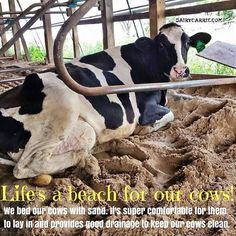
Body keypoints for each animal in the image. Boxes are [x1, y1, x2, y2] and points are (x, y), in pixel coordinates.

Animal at [0, 23, 210, 180]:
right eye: (161, 45)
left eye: (188, 42)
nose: (181, 70)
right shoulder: (145, 109)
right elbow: (170, 114)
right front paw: (145, 129)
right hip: (63, 108)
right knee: (26, 166)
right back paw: (87, 162)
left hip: (84, 130)